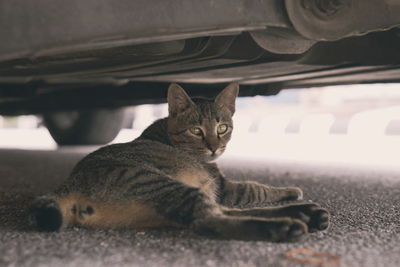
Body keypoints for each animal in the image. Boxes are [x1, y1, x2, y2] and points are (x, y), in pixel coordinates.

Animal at [31, 84, 330, 243]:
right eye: (197, 131)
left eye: (222, 128)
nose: (214, 146)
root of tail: (69, 185)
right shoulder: (226, 187)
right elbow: (257, 188)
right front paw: (290, 190)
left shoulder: (220, 187)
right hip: (162, 184)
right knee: (209, 219)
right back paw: (284, 225)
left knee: (218, 212)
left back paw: (304, 213)